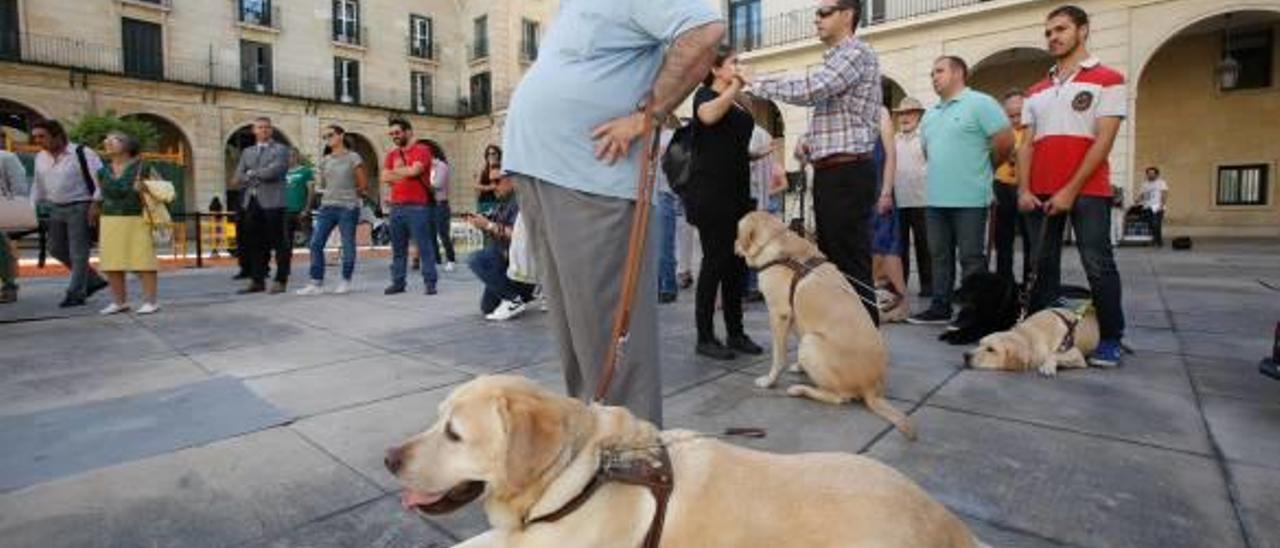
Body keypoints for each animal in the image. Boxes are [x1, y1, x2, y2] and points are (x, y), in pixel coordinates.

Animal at [942, 272, 1090, 345]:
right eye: (963, 283)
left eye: (971, 287)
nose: (951, 294)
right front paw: (950, 333)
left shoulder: (993, 326)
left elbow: (975, 329)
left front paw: (957, 336)